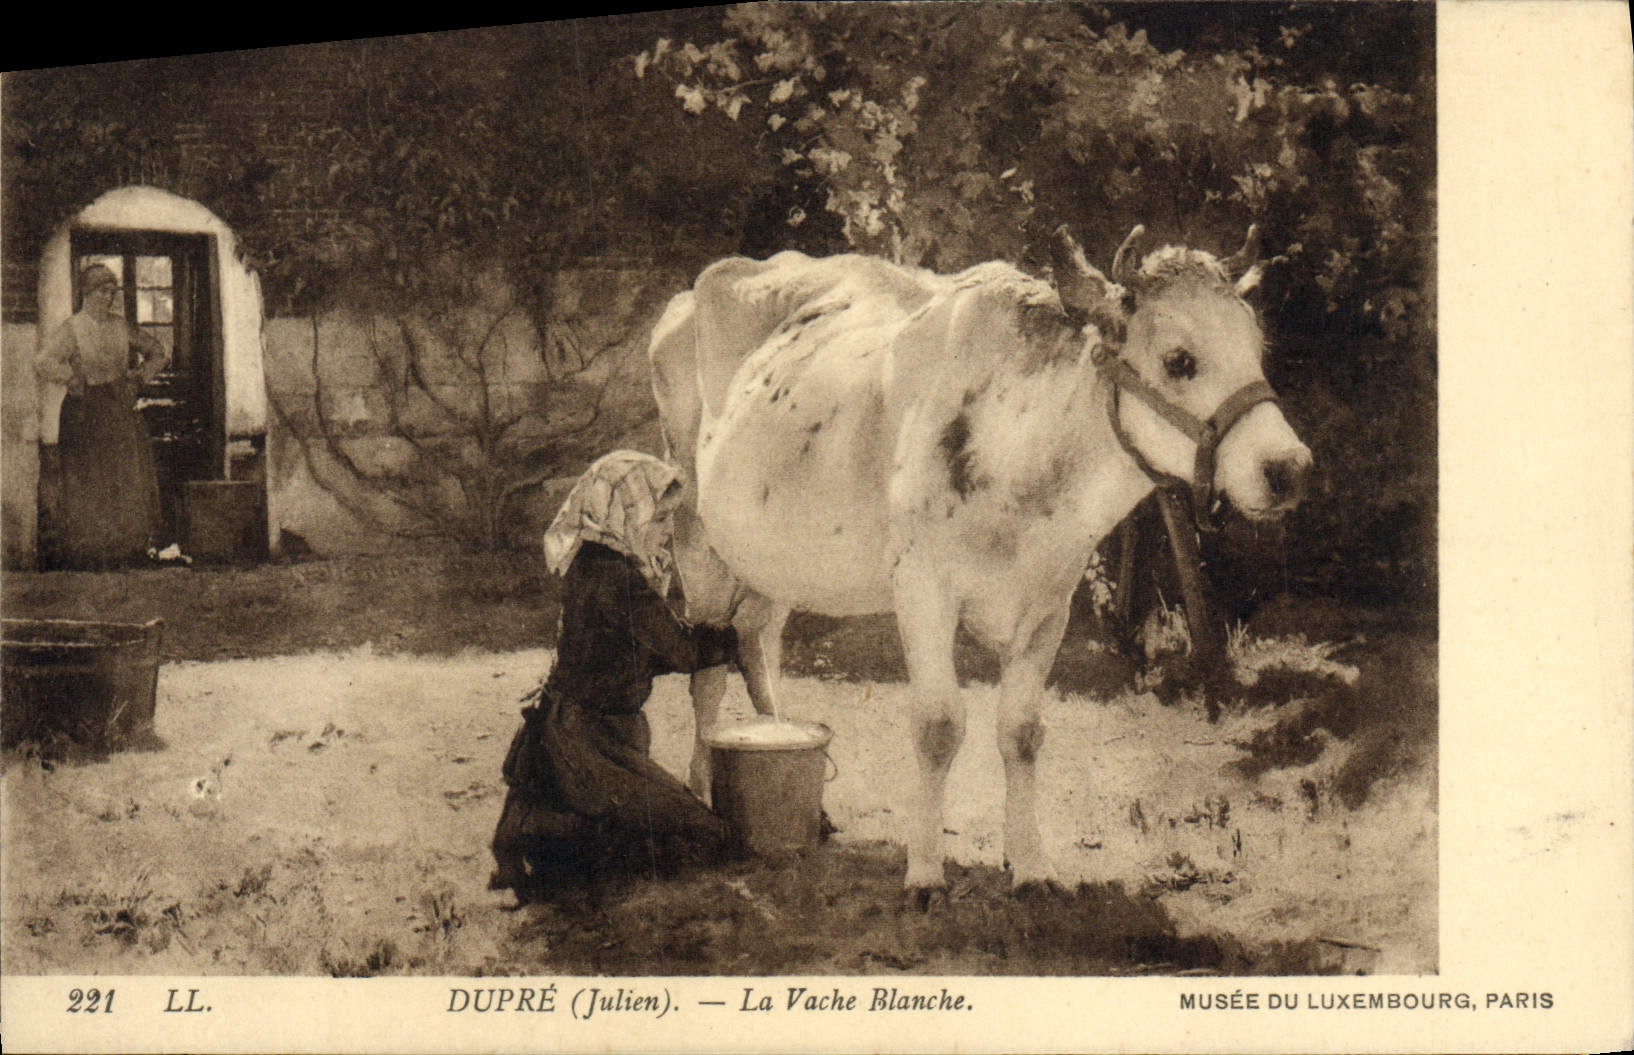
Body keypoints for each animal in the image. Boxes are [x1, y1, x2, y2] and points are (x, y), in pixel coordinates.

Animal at [649, 226, 1312, 899]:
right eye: (1180, 360)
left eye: (1257, 350)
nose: (1289, 467)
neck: (1023, 458)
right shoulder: (922, 590)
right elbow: (938, 726)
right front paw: (924, 871)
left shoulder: (1050, 604)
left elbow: (1022, 731)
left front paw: (1031, 864)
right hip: (697, 540)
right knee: (708, 673)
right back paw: (704, 789)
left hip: (773, 560)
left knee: (759, 650)